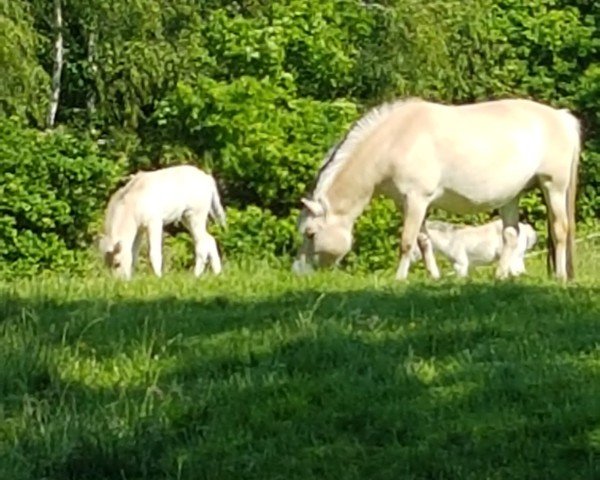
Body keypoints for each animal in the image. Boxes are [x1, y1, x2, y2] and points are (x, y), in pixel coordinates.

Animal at [292, 97, 580, 282]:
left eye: (310, 233)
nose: (298, 272)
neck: (396, 139)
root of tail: (561, 117)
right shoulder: (409, 203)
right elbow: (423, 240)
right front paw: (434, 276)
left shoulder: (416, 200)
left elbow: (407, 241)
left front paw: (399, 279)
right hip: (511, 196)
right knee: (510, 235)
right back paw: (499, 276)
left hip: (554, 187)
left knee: (560, 230)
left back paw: (560, 276)